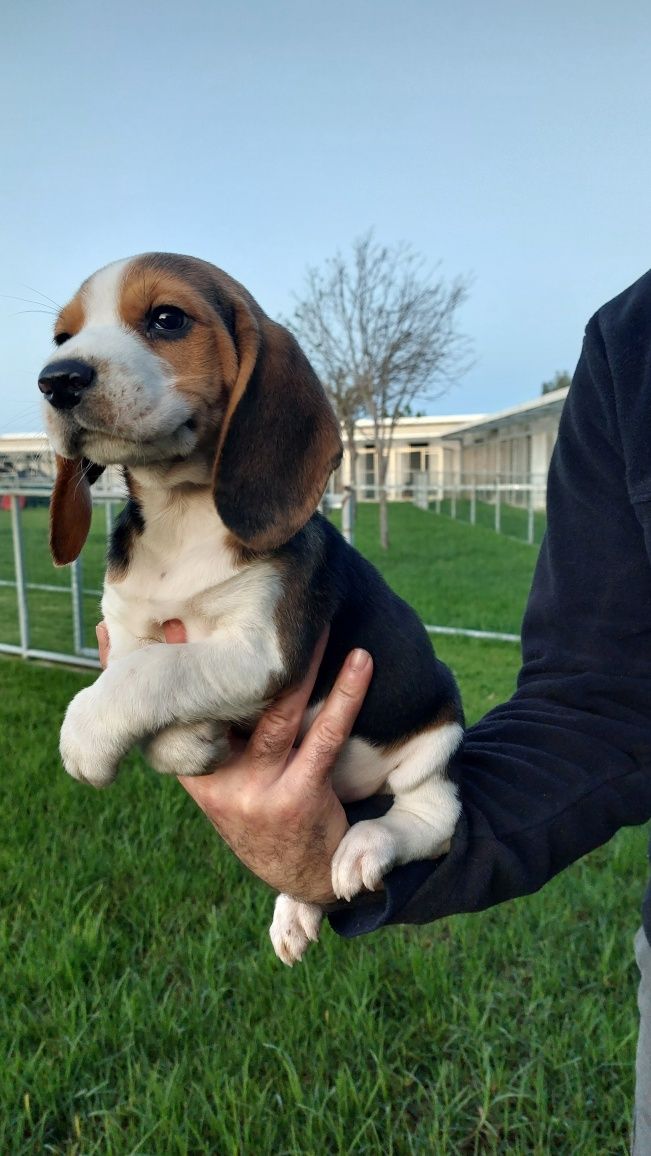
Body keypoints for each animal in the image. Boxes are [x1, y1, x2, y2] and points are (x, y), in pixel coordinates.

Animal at [39, 255, 462, 966]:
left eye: (166, 318)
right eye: (62, 337)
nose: (56, 380)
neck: (182, 514)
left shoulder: (262, 648)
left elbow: (151, 672)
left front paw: (86, 738)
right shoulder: (126, 625)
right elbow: (136, 669)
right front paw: (190, 743)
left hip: (437, 731)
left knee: (432, 817)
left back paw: (366, 848)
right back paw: (298, 907)